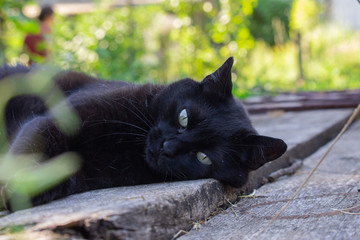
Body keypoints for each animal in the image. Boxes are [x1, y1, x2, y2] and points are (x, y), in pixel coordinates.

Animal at [0, 57, 286, 207]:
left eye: (203, 157)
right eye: (184, 117)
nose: (167, 147)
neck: (127, 146)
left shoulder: (84, 173)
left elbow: (57, 176)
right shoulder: (51, 121)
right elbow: (31, 146)